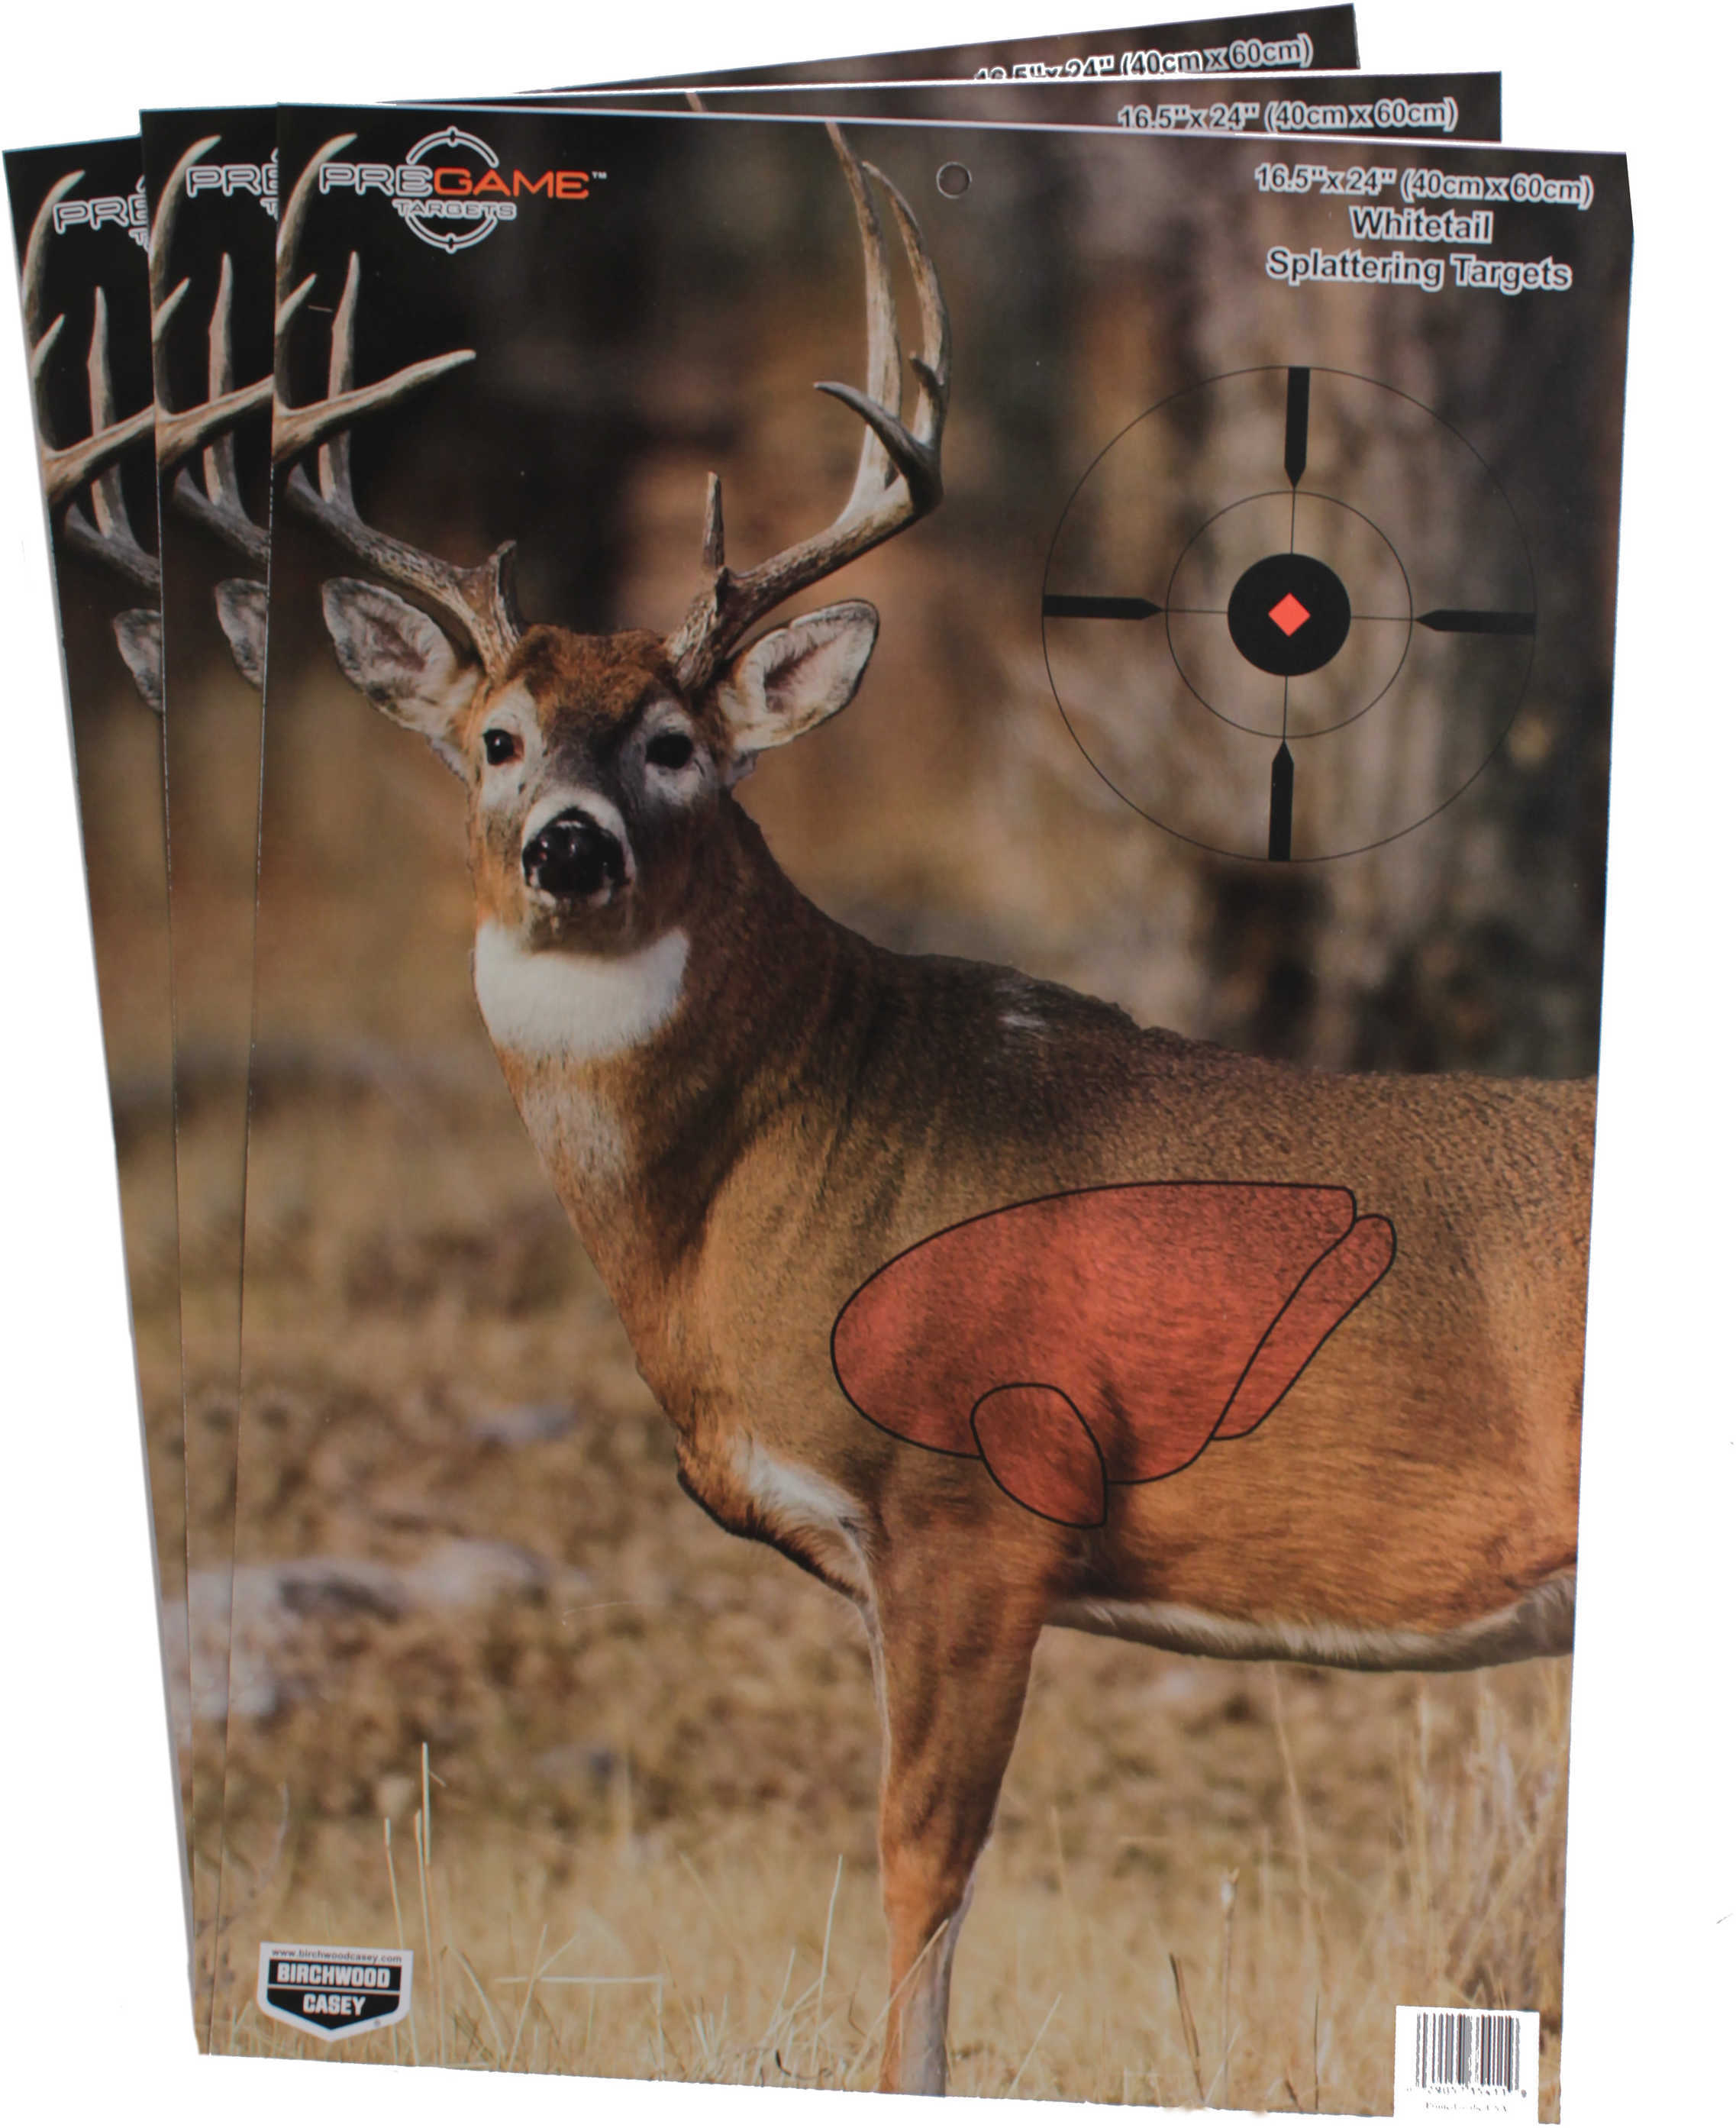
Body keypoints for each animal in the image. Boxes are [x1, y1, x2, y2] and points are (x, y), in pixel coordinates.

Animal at [278, 124, 1591, 2095]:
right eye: (495, 739)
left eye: (675, 742)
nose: (568, 847)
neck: (774, 1174)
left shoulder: (973, 1500)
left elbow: (921, 1870)